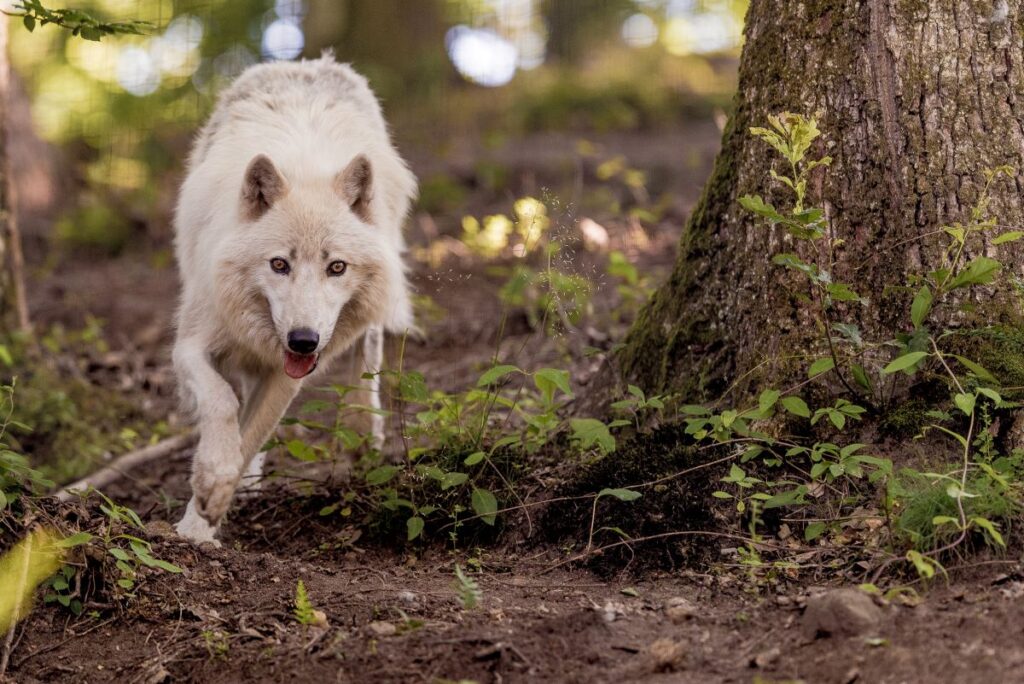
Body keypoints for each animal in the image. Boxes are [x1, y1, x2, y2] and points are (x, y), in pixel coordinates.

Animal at [172, 55, 416, 544]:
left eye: (336, 267)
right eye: (279, 264)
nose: (303, 340)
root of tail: (306, 61)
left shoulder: (286, 375)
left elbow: (251, 432)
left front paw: (202, 520)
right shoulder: (192, 341)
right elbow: (223, 401)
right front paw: (210, 493)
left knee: (369, 348)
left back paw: (363, 426)